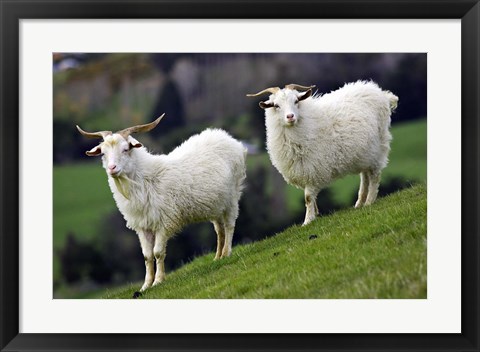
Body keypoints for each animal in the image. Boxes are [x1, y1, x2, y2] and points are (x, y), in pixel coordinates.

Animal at [78, 115, 248, 294]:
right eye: (103, 153)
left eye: (125, 149)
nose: (112, 168)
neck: (146, 179)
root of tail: (225, 136)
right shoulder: (143, 225)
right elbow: (147, 256)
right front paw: (146, 285)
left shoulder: (164, 221)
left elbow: (158, 252)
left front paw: (158, 280)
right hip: (216, 204)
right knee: (219, 230)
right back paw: (218, 257)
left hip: (232, 196)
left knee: (229, 226)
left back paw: (227, 253)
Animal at [248, 81, 398, 226]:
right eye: (276, 105)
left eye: (296, 101)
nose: (290, 117)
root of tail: (381, 93)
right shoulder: (304, 170)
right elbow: (311, 198)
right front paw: (315, 214)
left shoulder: (312, 168)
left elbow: (308, 197)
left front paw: (307, 221)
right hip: (365, 153)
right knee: (365, 176)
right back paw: (359, 202)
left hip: (378, 146)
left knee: (374, 176)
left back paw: (369, 201)